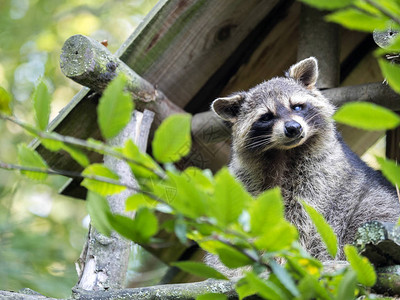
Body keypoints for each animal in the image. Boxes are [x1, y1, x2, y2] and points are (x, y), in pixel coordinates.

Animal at [211, 56, 398, 260]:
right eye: (266, 117)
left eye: (297, 106)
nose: (293, 128)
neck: (283, 152)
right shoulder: (246, 179)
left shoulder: (319, 176)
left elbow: (302, 219)